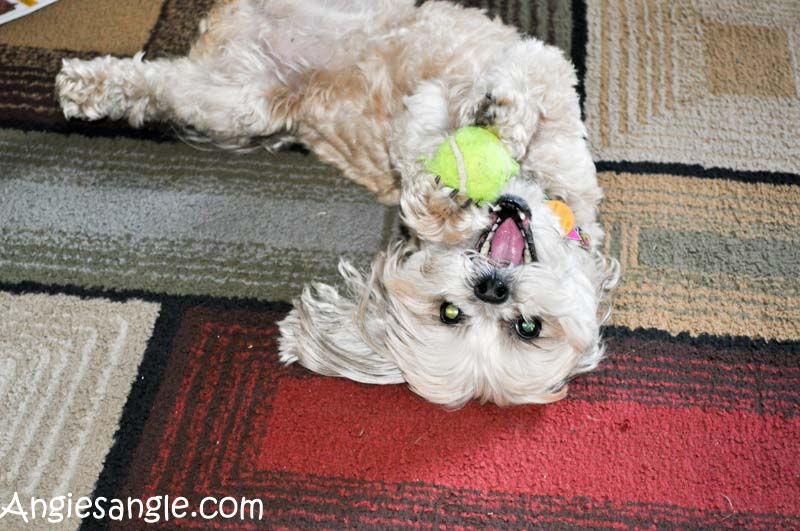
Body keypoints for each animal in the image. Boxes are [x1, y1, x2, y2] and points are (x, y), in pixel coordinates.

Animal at [56, 0, 620, 408]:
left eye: (527, 328)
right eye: (450, 312)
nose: (492, 288)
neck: (540, 190)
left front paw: (458, 177)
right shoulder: (519, 83)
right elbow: (500, 99)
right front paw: (487, 134)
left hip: (234, 102)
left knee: (156, 84)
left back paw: (87, 89)